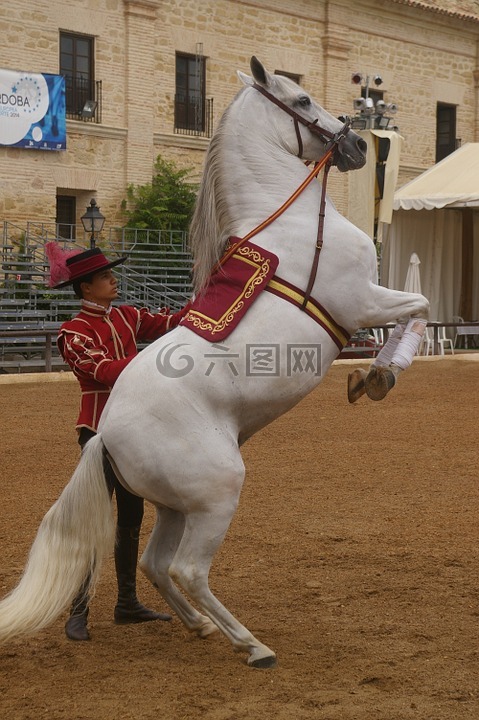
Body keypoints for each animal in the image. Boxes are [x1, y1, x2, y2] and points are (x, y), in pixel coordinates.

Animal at [0, 57, 429, 668]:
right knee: (186, 569)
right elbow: (420, 308)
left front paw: (370, 377)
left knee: (153, 563)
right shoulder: (363, 300)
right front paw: (377, 377)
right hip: (217, 494)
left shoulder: (365, 304)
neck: (293, 225)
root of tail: (104, 434)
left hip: (177, 506)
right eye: (301, 100)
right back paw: (251, 645)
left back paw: (200, 626)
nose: (354, 148)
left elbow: (416, 313)